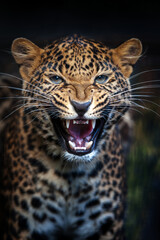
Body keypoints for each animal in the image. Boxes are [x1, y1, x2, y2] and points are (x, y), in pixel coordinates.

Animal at [0, 34, 142, 240]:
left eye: (101, 78)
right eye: (56, 79)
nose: (81, 106)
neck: (70, 174)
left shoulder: (108, 227)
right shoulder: (23, 226)